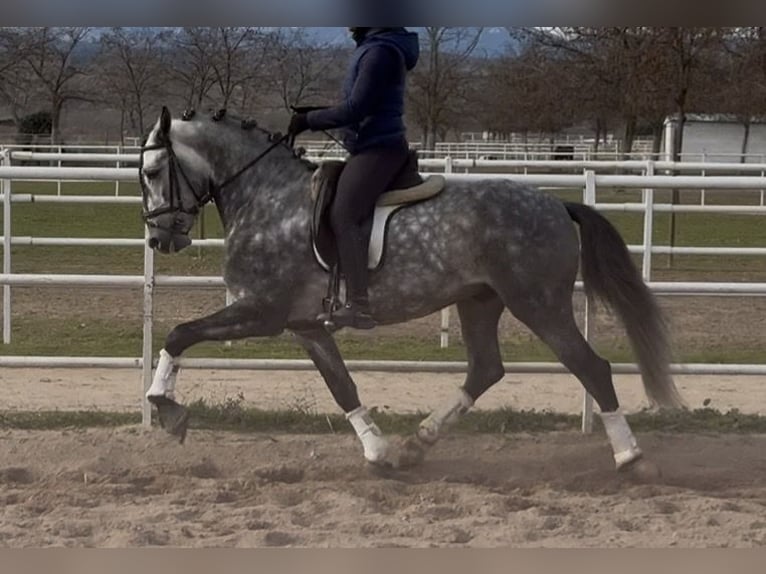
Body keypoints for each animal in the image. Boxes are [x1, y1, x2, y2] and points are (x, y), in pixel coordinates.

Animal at [139, 106, 685, 475]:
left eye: (151, 172)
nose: (161, 238)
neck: (267, 198)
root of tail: (556, 204)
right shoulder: (305, 325)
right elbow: (342, 386)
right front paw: (379, 452)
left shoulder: (261, 313)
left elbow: (178, 333)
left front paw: (167, 409)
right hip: (479, 302)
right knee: (486, 369)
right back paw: (417, 443)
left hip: (539, 304)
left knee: (591, 367)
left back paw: (631, 457)